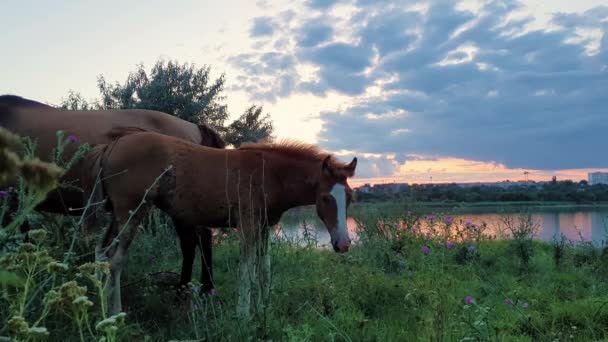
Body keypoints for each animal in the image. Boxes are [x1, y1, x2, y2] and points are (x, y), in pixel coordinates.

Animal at [85, 130, 356, 320]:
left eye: (351, 198)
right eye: (325, 198)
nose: (343, 244)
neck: (269, 174)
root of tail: (112, 145)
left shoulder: (264, 227)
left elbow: (264, 268)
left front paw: (262, 309)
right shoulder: (247, 225)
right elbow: (247, 269)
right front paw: (244, 315)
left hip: (117, 215)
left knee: (101, 251)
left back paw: (101, 307)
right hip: (132, 211)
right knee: (116, 259)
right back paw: (115, 314)